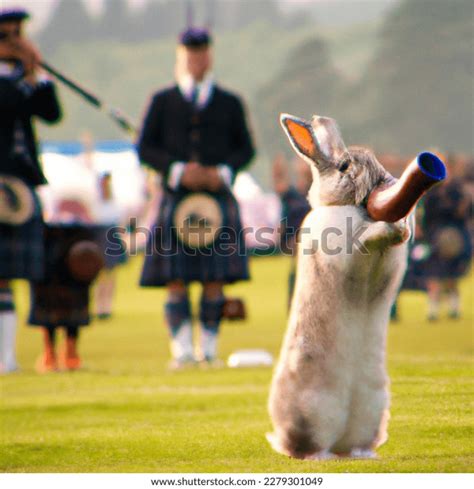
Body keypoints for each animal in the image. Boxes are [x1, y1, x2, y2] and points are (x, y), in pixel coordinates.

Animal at [268, 112, 420, 460]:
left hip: (373, 410)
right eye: (344, 166)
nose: (384, 182)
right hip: (314, 414)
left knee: (357, 442)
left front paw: (403, 227)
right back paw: (317, 455)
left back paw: (364, 455)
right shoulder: (346, 247)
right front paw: (391, 227)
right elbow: (368, 238)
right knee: (312, 445)